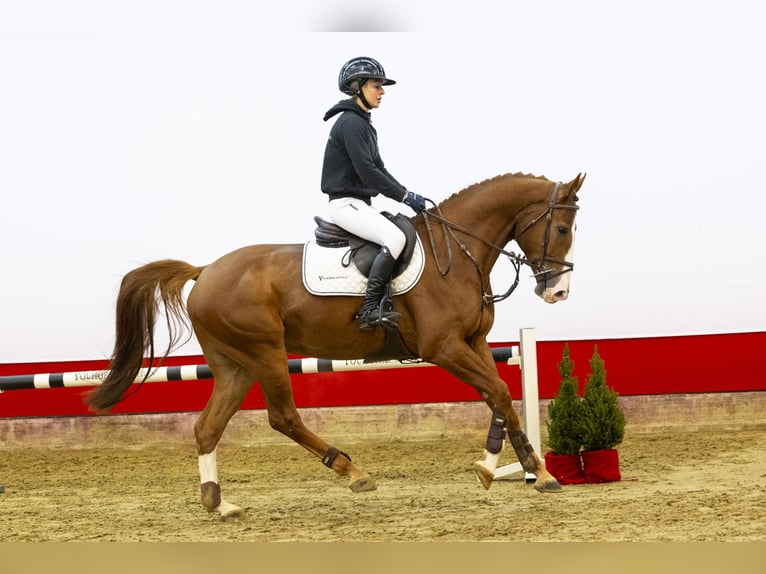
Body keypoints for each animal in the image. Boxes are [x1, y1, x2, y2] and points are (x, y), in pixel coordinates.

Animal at [87, 171, 584, 520]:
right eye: (562, 229)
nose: (558, 292)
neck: (458, 252)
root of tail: (204, 270)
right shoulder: (444, 348)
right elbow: (497, 391)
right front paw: (506, 468)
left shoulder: (475, 343)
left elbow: (498, 396)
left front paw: (523, 469)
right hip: (265, 352)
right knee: (283, 417)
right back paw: (353, 472)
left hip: (234, 365)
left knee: (208, 427)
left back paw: (220, 504)